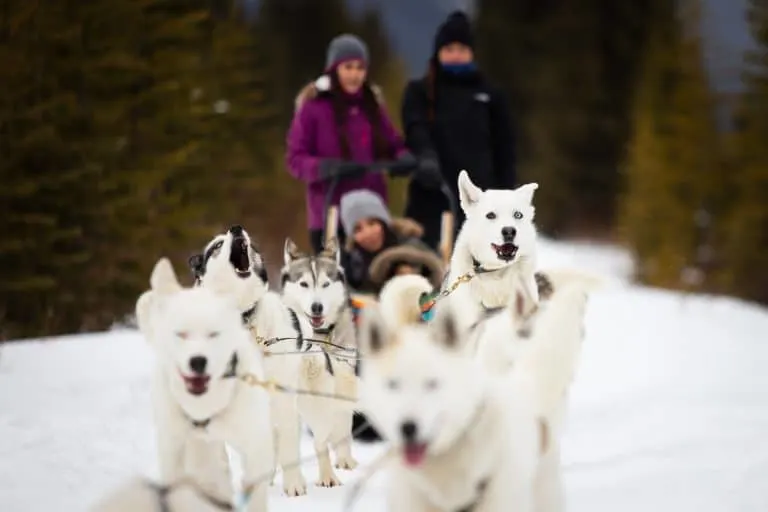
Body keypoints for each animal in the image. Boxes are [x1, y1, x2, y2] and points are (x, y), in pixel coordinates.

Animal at [134, 260, 272, 512]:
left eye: (214, 334)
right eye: (180, 334)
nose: (197, 361)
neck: (204, 409)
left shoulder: (256, 449)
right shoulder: (173, 451)